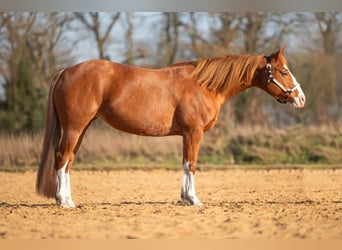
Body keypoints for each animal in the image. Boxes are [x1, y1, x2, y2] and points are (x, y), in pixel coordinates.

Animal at [36, 47, 304, 207]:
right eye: (283, 71)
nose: (301, 98)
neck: (204, 85)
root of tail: (65, 71)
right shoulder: (193, 132)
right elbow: (191, 164)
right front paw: (193, 199)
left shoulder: (187, 134)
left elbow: (185, 163)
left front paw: (184, 198)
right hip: (74, 128)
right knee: (61, 157)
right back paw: (63, 201)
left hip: (81, 129)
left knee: (69, 160)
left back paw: (68, 199)